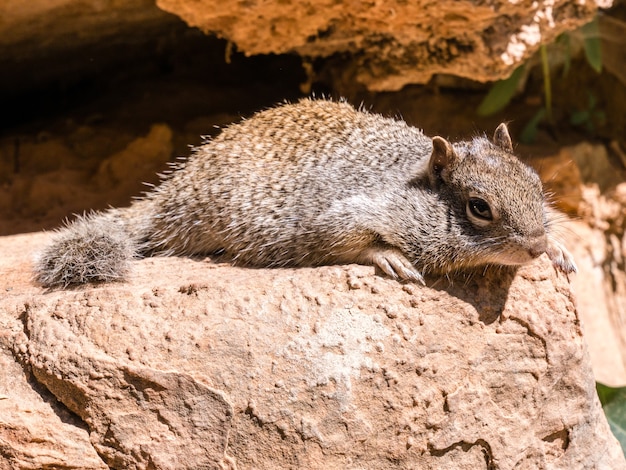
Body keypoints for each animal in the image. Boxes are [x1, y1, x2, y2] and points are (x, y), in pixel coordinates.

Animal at [34, 99, 576, 286]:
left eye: (537, 184)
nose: (533, 246)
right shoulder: (334, 216)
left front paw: (559, 249)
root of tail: (169, 196)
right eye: (479, 208)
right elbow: (347, 241)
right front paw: (390, 257)